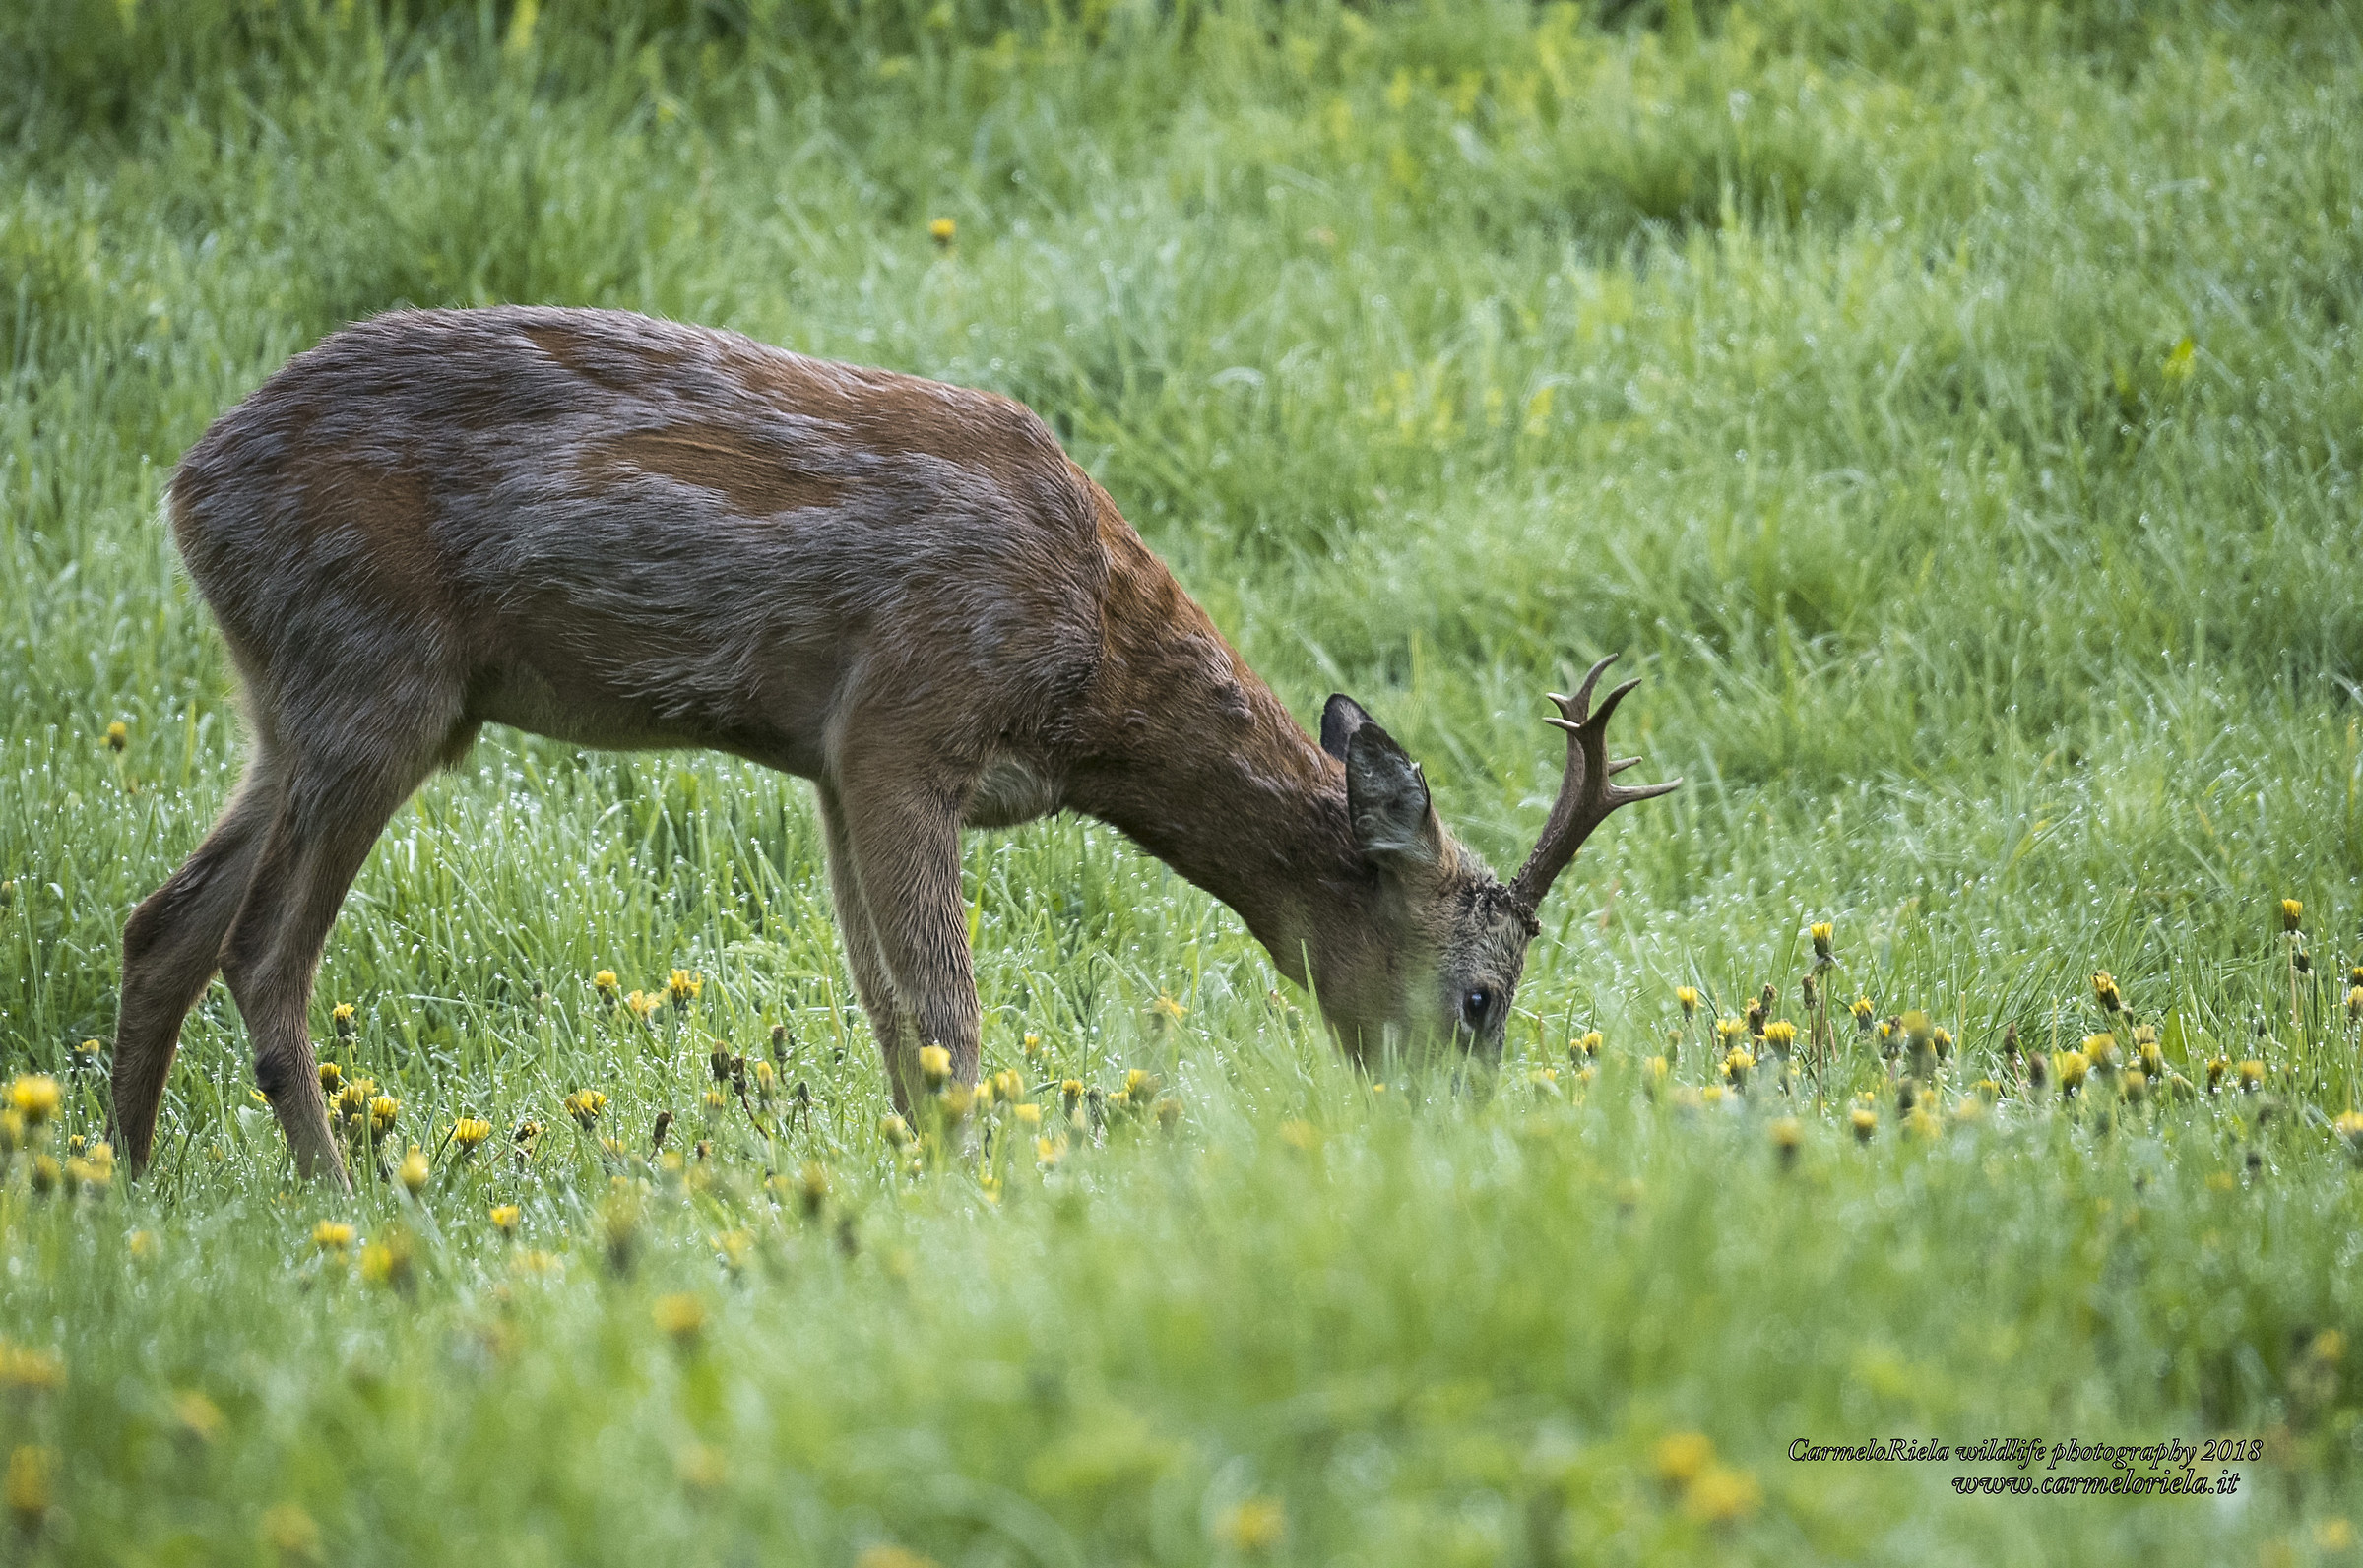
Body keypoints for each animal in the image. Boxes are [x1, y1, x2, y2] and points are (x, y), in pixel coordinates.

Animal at [112, 306, 1677, 1188]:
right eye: (1480, 996)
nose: (1459, 1135)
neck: (1095, 674)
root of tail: (187, 485)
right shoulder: (906, 719)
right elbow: (945, 1021)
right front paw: (970, 1209)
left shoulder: (825, 761)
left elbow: (887, 1020)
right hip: (373, 675)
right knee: (263, 951)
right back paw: (338, 1203)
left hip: (298, 700)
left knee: (163, 920)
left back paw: (123, 1194)